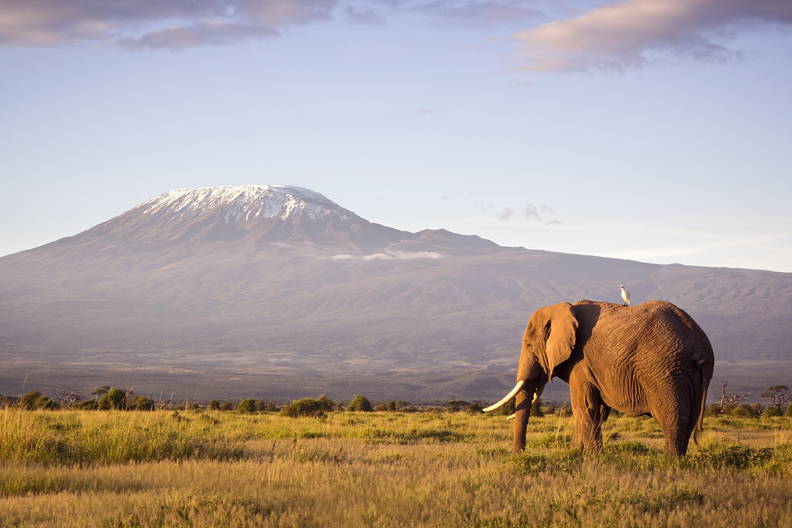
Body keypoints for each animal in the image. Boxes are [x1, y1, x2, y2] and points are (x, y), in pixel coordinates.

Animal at [486, 300, 716, 456]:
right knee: (689, 420)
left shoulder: (580, 362)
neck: (563, 307)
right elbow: (597, 412)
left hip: (664, 372)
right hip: (688, 374)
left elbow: (585, 407)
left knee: (672, 418)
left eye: (528, 345)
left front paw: (592, 458)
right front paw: (576, 453)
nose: (520, 452)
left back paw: (670, 463)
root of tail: (701, 347)